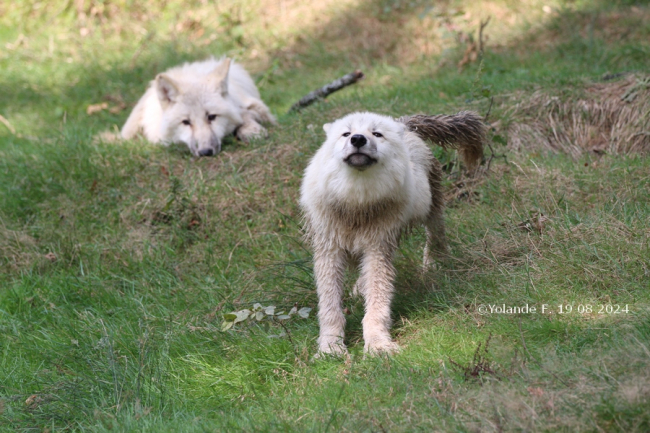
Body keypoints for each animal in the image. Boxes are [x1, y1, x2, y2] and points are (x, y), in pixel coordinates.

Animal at [121, 57, 274, 157]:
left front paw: (251, 131)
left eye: (211, 117)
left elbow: (245, 116)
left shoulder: (255, 107)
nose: (205, 152)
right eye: (186, 122)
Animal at [296, 110, 484, 354]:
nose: (358, 139)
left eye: (377, 134)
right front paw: (330, 348)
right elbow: (329, 307)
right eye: (346, 133)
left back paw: (435, 262)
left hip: (430, 209)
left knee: (436, 233)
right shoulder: (330, 251)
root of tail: (404, 123)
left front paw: (378, 345)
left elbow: (378, 301)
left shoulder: (378, 248)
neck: (356, 202)